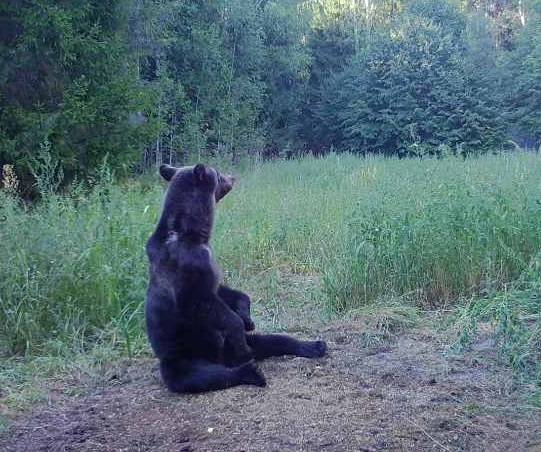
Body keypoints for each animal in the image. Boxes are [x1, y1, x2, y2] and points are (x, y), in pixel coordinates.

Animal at [143, 164, 326, 394]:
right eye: (218, 173)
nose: (232, 176)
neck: (193, 233)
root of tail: (224, 359)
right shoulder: (187, 267)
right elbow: (205, 304)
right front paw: (239, 322)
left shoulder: (209, 263)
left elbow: (226, 291)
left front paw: (247, 317)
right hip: (184, 356)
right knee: (203, 375)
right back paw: (251, 371)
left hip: (241, 345)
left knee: (274, 340)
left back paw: (315, 345)